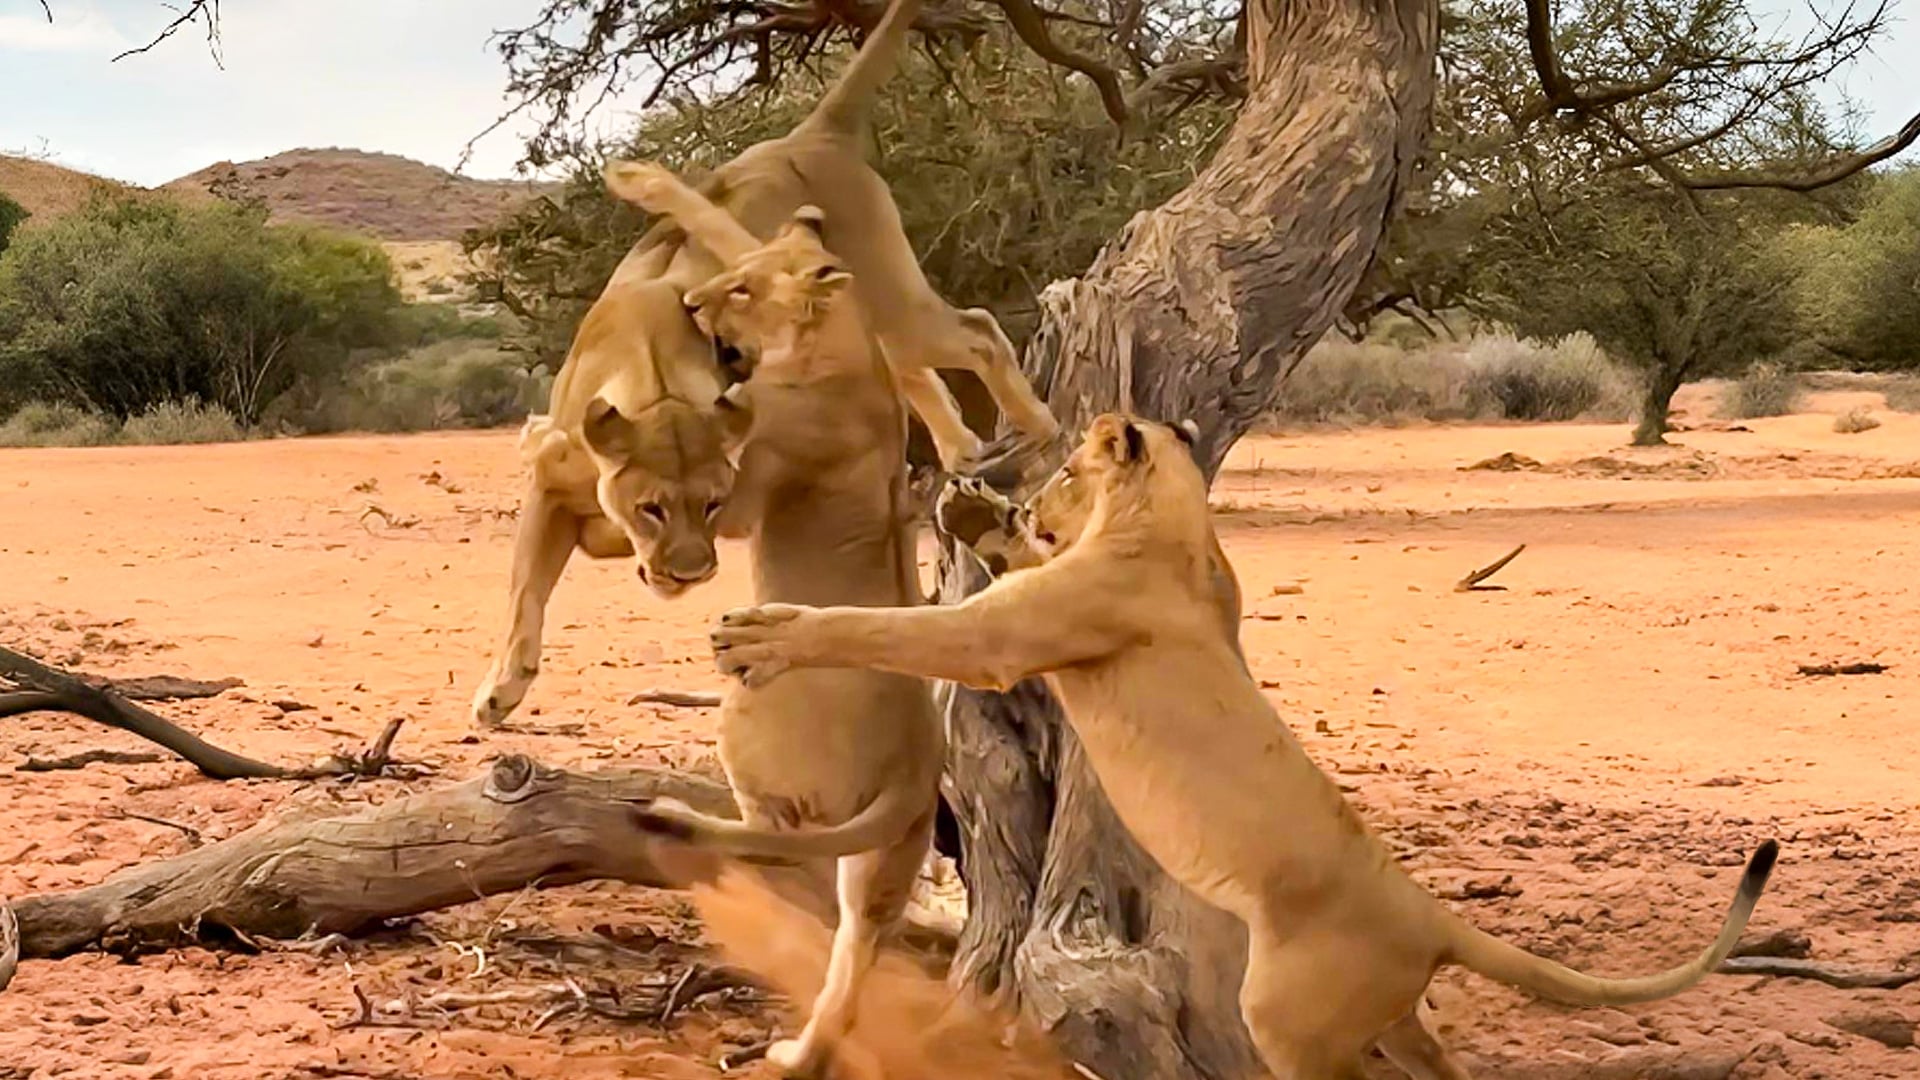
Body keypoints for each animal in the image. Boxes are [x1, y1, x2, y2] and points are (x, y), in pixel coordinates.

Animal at [613, 175, 945, 1078]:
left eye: (741, 292)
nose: (693, 303)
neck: (849, 342)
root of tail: (917, 766)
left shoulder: (746, 488)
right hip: (885, 865)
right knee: (854, 945)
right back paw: (801, 1054)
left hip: (746, 709)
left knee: (772, 842)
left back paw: (671, 813)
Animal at [701, 414, 1781, 1080]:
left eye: (1068, 471)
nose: (1038, 498)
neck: (1174, 520)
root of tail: (1432, 917)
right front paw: (978, 511)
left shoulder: (1005, 638)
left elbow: (877, 627)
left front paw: (763, 636)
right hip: (1390, 1015)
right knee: (1442, 1064)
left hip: (1291, 1017)